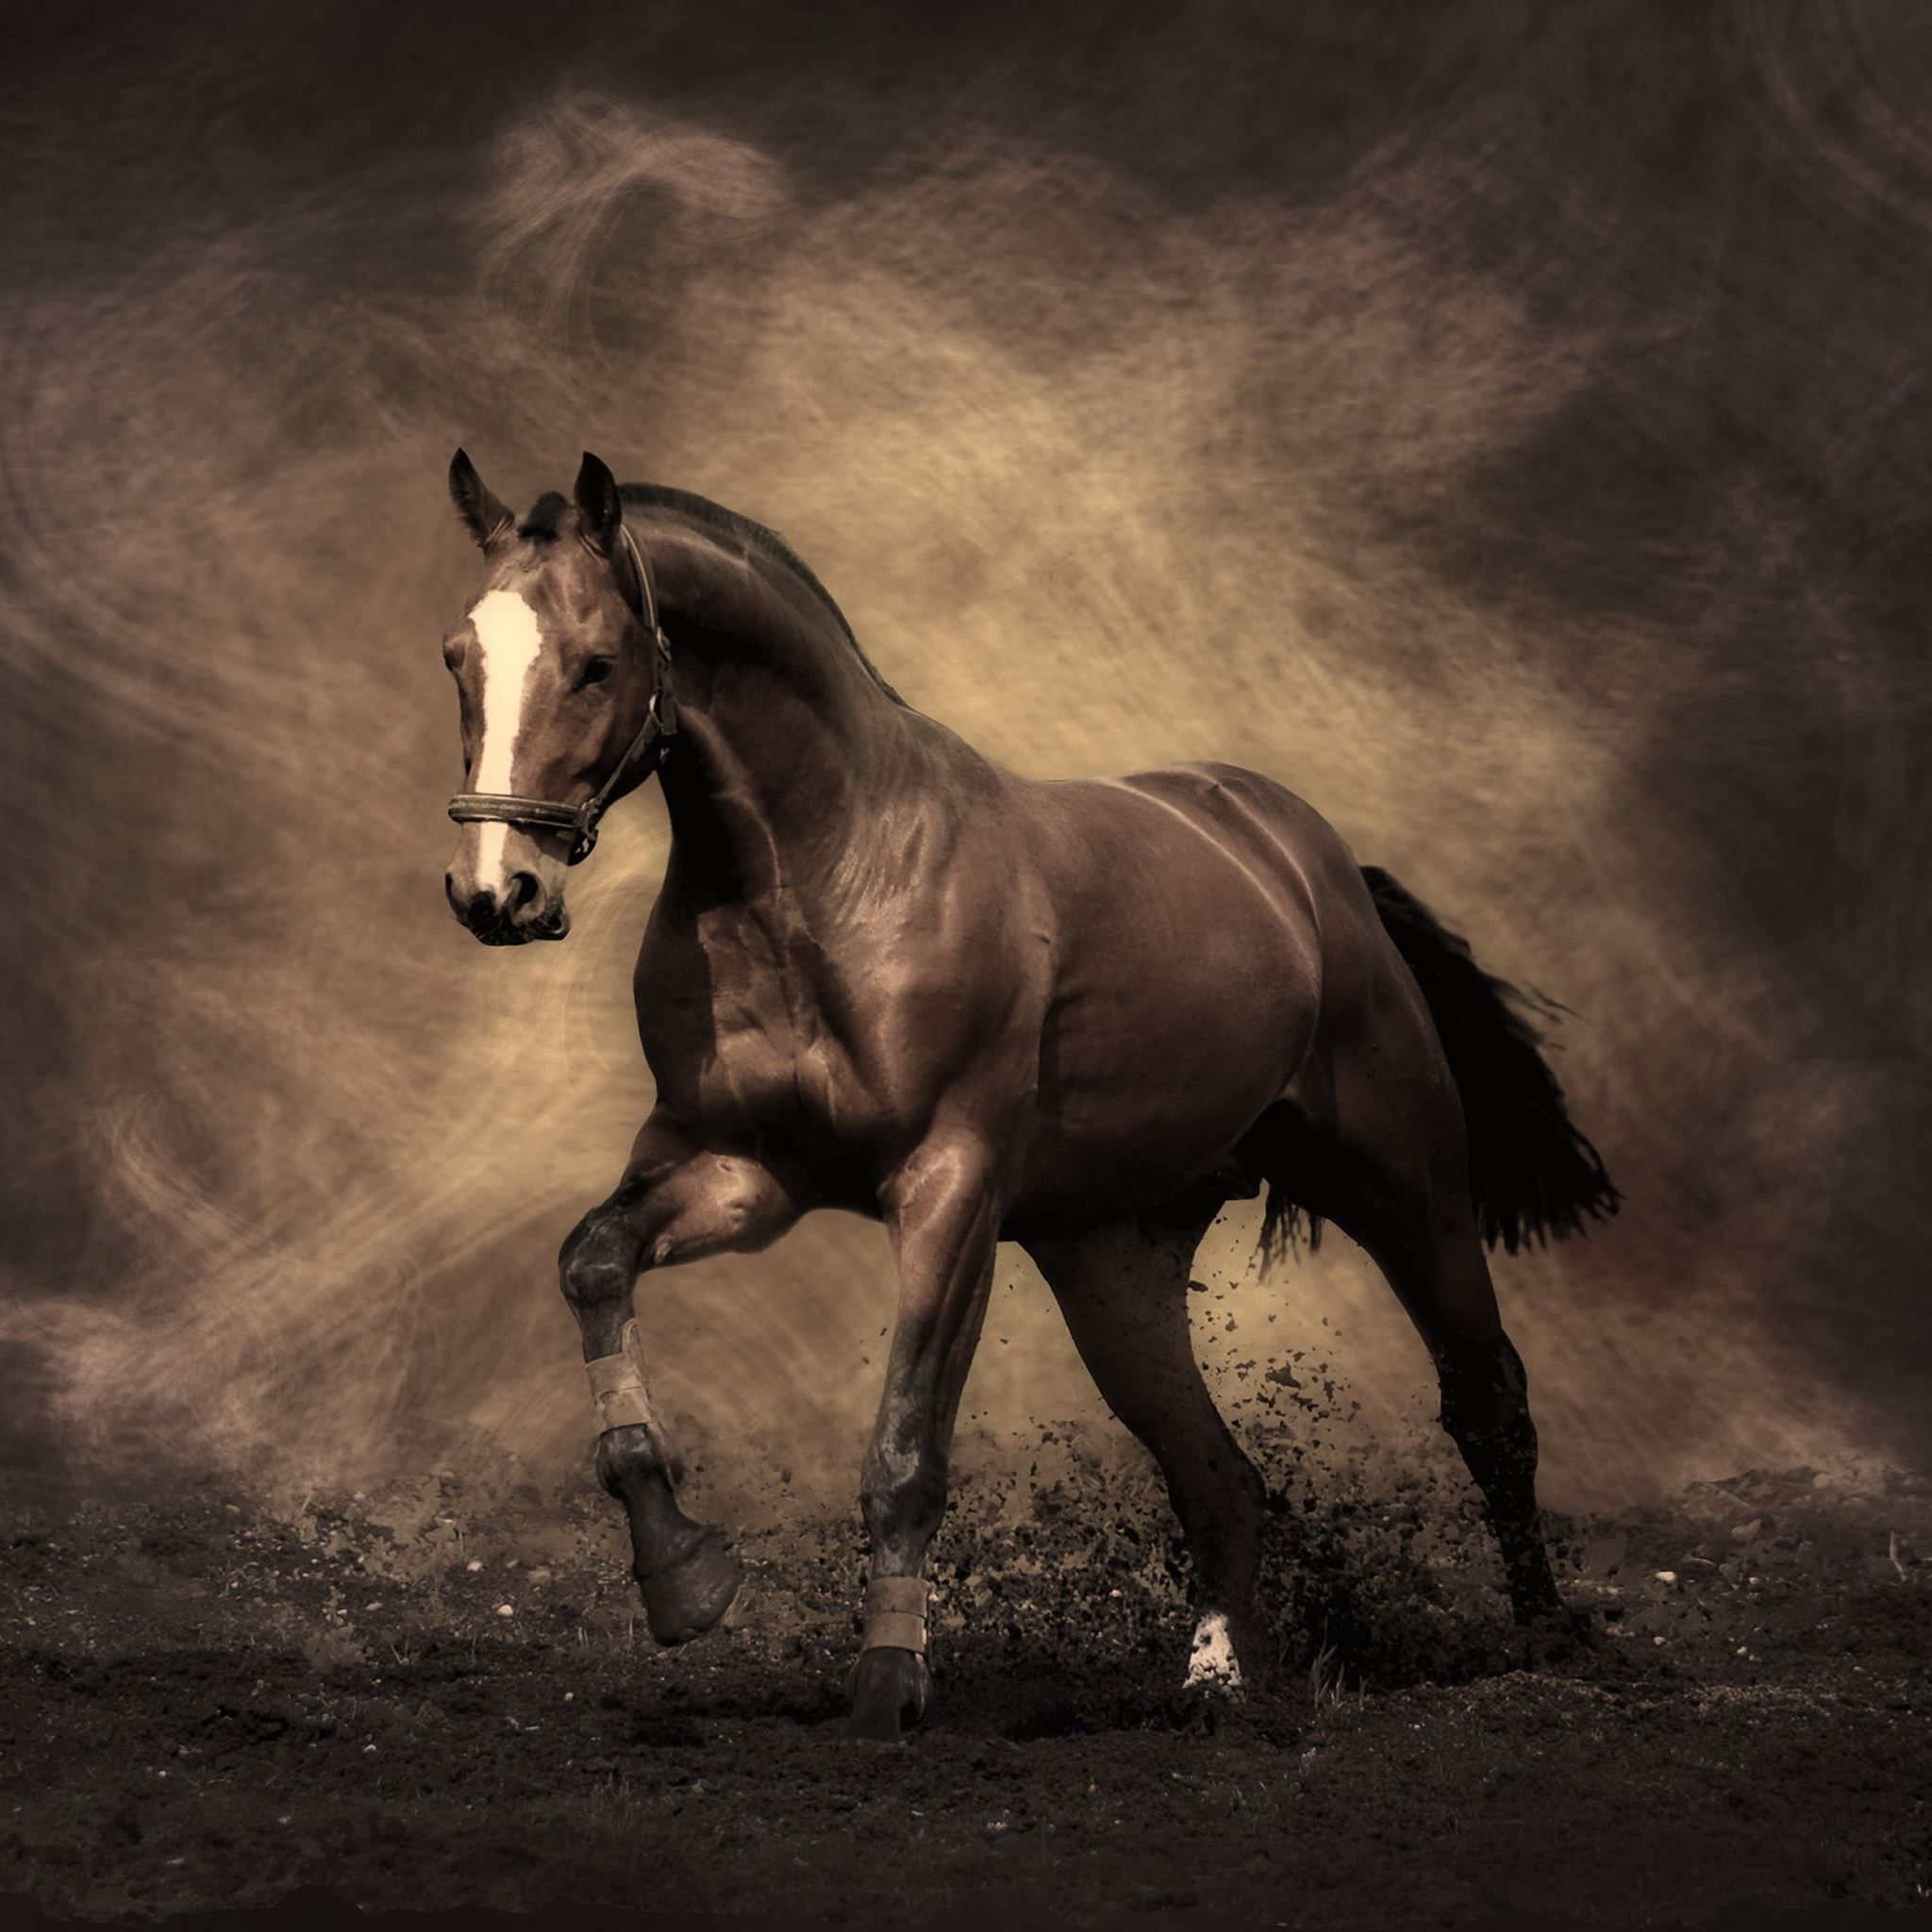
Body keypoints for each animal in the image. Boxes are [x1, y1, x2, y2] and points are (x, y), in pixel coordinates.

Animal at [434, 448, 1615, 1739]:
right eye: (458, 657)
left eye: (597, 661)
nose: (496, 891)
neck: (822, 877)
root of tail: (1308, 861)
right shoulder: (739, 1171)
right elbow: (593, 1263)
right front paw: (684, 1578)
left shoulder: (948, 1189)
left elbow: (905, 1448)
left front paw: (886, 1684)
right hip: (1112, 1265)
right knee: (1217, 1474)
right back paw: (1213, 1679)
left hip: (1404, 1184)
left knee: (1486, 1399)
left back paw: (1546, 1638)